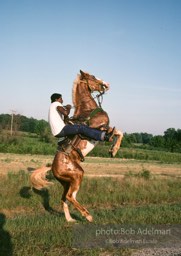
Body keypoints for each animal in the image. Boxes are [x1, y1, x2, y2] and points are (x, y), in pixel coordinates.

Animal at [30, 70, 123, 222]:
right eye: (92, 77)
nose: (106, 84)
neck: (89, 109)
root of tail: (52, 168)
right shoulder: (100, 128)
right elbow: (116, 132)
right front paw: (113, 149)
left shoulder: (104, 128)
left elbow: (119, 132)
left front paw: (113, 150)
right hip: (77, 175)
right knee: (69, 196)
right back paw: (87, 215)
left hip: (67, 182)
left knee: (64, 198)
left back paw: (70, 220)